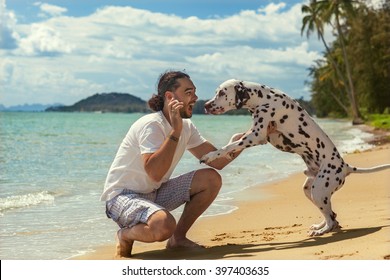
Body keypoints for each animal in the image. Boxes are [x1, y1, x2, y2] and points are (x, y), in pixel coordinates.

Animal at [201, 79, 390, 236]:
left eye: (222, 93)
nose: (206, 106)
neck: (263, 98)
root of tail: (345, 167)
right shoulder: (257, 135)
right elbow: (234, 141)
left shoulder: (256, 136)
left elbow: (229, 145)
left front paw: (211, 155)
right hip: (311, 191)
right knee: (331, 215)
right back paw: (320, 226)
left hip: (319, 190)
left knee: (331, 219)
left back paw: (321, 231)